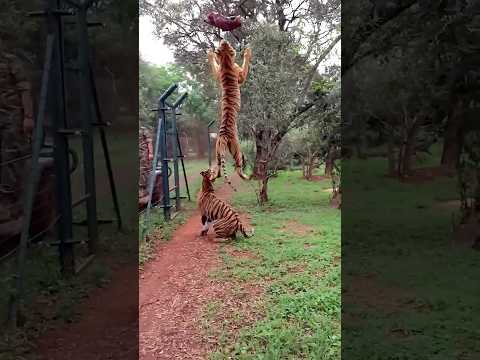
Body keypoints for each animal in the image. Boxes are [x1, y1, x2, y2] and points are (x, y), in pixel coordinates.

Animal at [206, 40, 251, 183]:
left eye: (224, 45)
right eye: (229, 45)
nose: (224, 41)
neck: (226, 61)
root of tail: (224, 135)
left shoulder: (217, 73)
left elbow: (214, 66)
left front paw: (210, 53)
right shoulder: (241, 76)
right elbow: (245, 66)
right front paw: (247, 52)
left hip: (217, 151)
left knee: (218, 166)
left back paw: (213, 177)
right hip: (237, 149)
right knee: (238, 168)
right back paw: (247, 176)